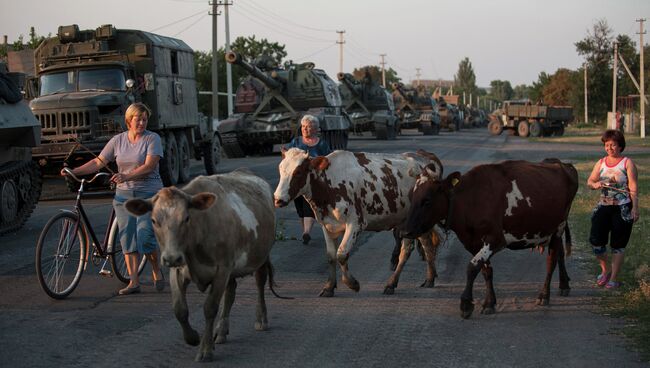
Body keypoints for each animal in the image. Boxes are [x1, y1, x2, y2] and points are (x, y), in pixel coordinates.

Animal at [124, 170, 278, 362]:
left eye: (186, 218)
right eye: (153, 220)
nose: (171, 257)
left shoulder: (221, 269)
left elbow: (210, 308)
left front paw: (205, 349)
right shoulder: (177, 270)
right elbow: (179, 309)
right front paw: (193, 338)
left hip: (261, 255)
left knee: (259, 282)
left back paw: (261, 319)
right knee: (231, 292)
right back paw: (221, 331)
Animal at [270, 147, 442, 296]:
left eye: (298, 172)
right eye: (280, 169)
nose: (278, 199)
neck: (329, 182)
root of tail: (424, 156)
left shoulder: (356, 223)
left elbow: (341, 254)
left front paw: (352, 284)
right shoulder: (326, 224)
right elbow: (331, 256)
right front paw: (329, 287)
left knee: (412, 249)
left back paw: (399, 282)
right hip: (409, 221)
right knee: (420, 246)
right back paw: (421, 279)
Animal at [400, 160, 576, 318]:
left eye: (427, 200)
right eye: (411, 196)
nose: (406, 231)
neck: (471, 200)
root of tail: (562, 164)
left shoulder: (496, 239)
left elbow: (472, 267)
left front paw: (466, 304)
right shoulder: (472, 242)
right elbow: (486, 270)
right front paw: (489, 303)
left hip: (558, 229)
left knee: (551, 260)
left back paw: (544, 295)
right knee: (560, 254)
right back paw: (564, 285)